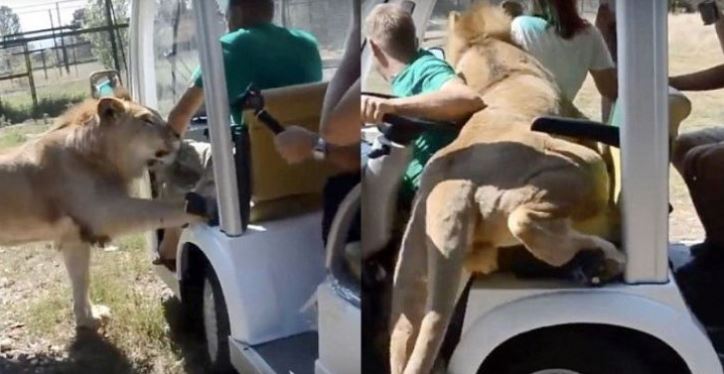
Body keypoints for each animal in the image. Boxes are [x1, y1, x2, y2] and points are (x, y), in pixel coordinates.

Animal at [0, 96, 206, 330]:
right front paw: (205, 205)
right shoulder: (104, 213)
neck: (103, 156)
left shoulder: (74, 237)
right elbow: (162, 209)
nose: (178, 135)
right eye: (147, 120)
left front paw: (87, 318)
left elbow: (81, 279)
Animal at [388, 3, 624, 374]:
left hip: (415, 272)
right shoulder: (576, 117)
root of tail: (453, 187)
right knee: (526, 223)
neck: (490, 52)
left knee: (404, 337)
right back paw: (607, 257)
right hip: (580, 166)